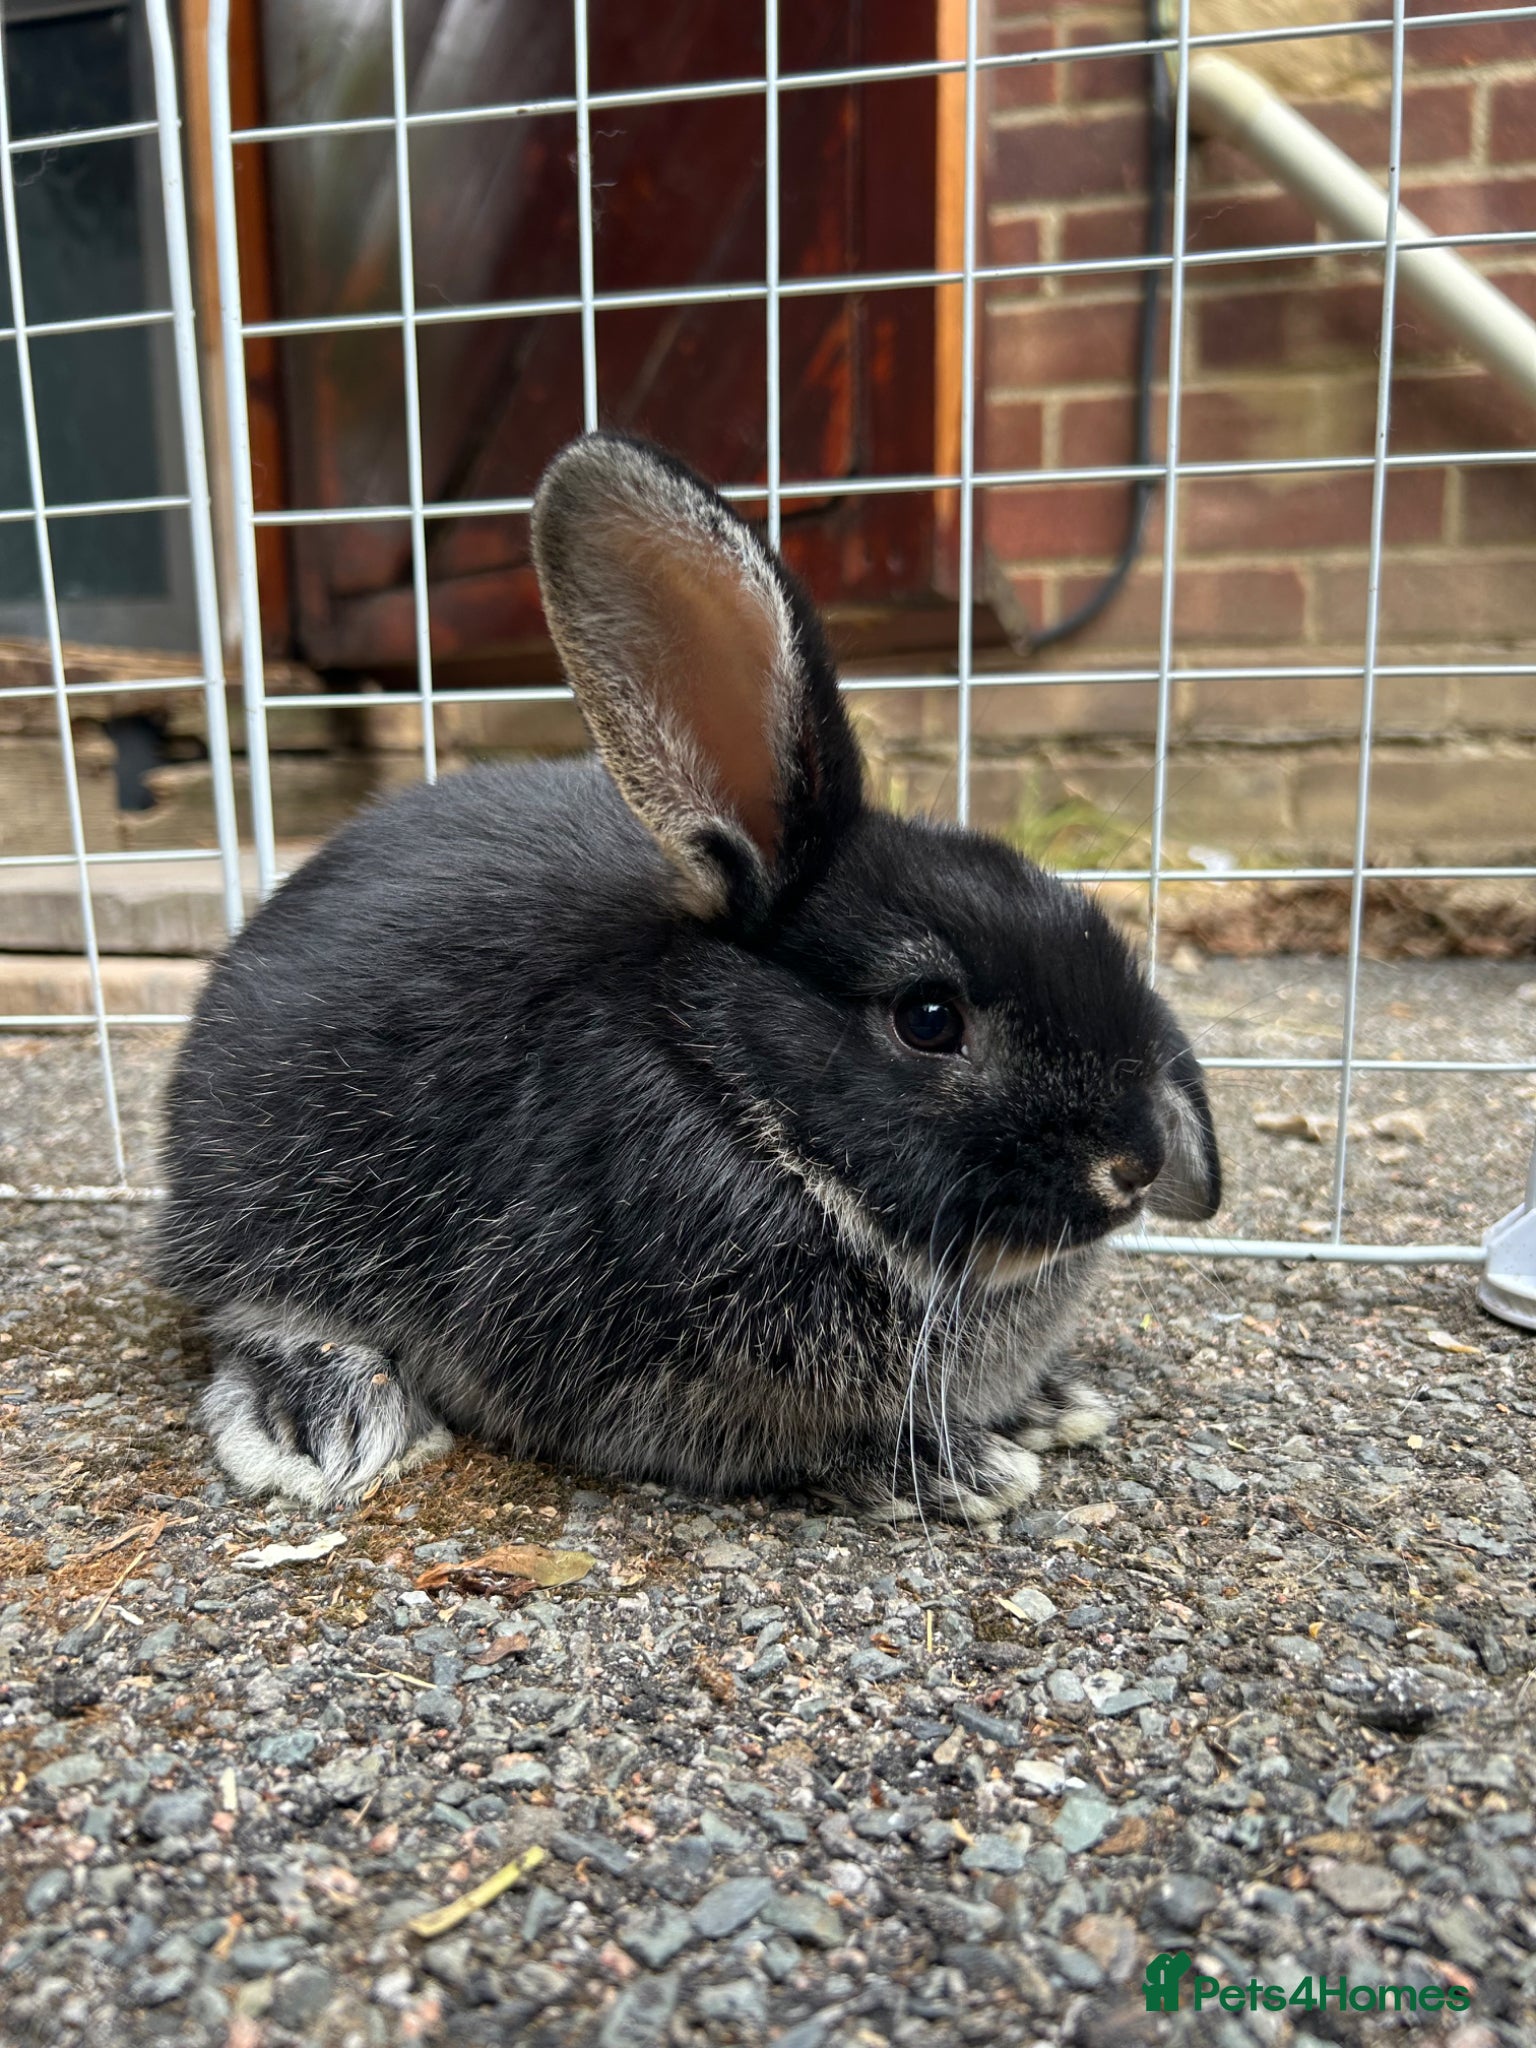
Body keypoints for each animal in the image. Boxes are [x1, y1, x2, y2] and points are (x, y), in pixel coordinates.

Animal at [159, 432, 1220, 1524]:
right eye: (928, 1017)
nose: (1135, 1166)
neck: (729, 1084)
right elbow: (809, 1446)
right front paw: (956, 1465)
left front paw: (1052, 1402)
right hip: (266, 1189)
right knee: (250, 1299)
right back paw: (325, 1414)